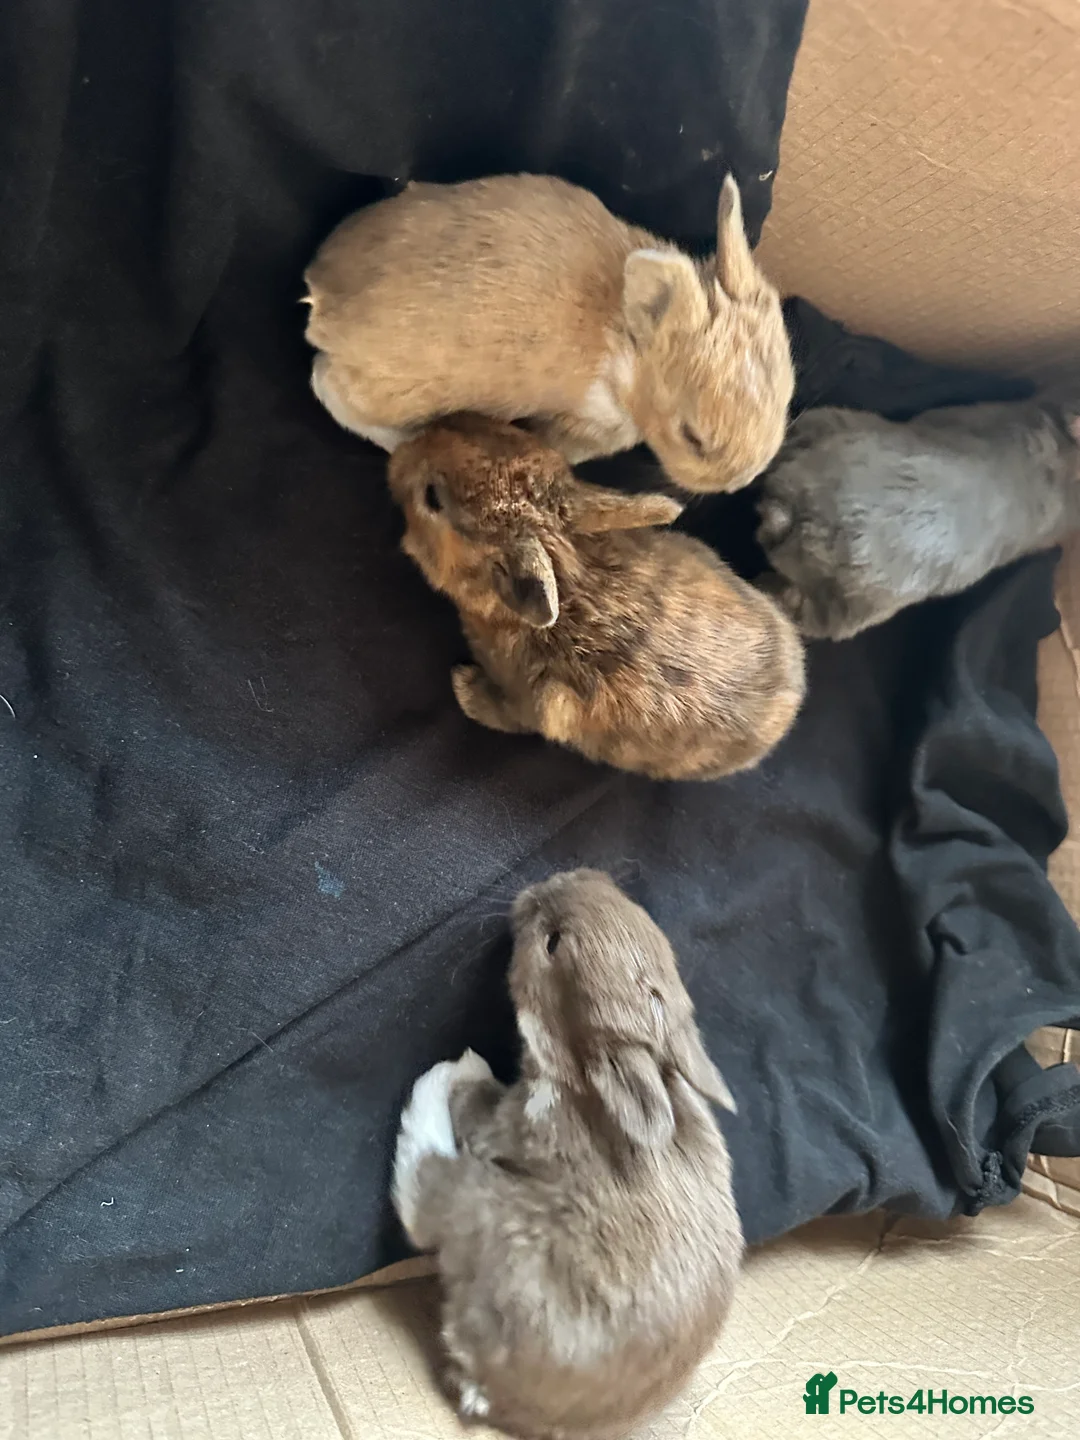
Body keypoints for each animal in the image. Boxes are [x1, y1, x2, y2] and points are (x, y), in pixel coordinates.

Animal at [304, 171, 794, 494]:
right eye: (692, 437)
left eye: (787, 398)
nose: (740, 481)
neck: (630, 348)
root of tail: (321, 296)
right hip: (398, 390)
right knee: (327, 387)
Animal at [386, 413, 805, 782]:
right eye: (514, 431)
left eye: (432, 498)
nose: (408, 446)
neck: (572, 576)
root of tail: (794, 694)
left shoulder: (530, 703)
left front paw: (463, 686)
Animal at [392, 868, 744, 1440]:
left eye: (553, 943)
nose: (550, 882)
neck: (583, 1080)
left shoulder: (513, 1124)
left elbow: (480, 1110)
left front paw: (467, 1070)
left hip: (480, 1206)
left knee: (422, 1196)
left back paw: (446, 1071)